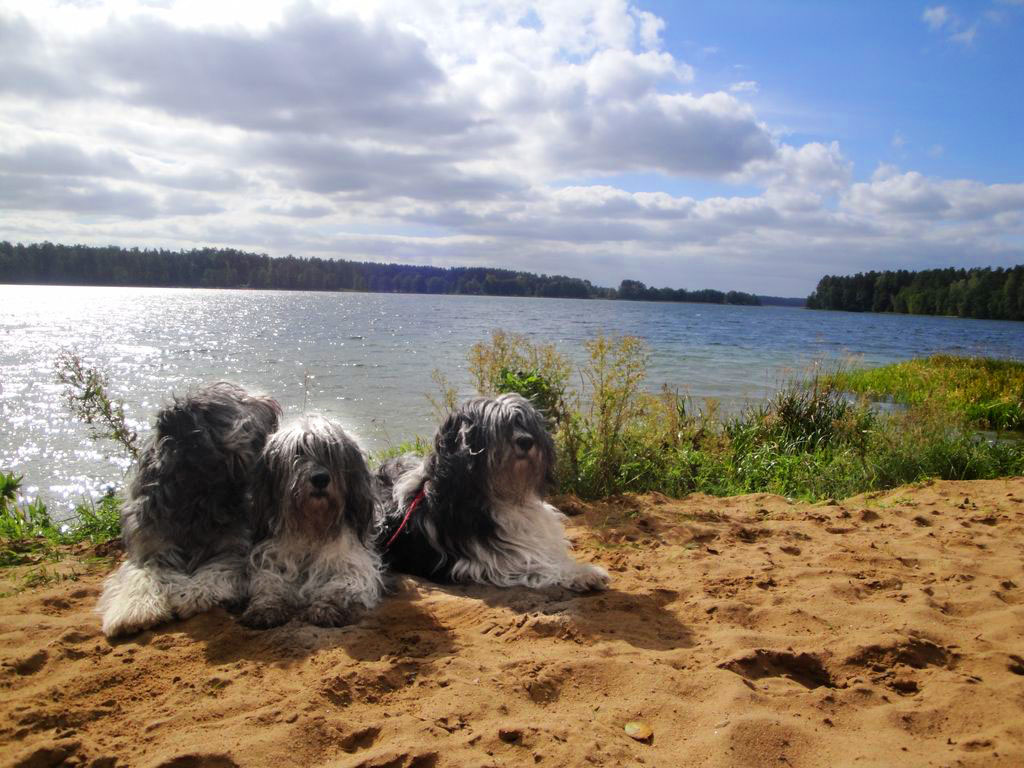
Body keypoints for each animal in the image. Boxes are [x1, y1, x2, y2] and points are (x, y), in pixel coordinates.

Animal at [98, 382, 281, 638]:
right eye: (240, 398)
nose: (272, 403)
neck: (197, 490)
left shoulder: (232, 548)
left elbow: (218, 570)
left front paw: (194, 594)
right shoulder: (150, 549)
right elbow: (142, 577)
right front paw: (134, 611)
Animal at [241, 414, 383, 628]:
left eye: (330, 452)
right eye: (297, 452)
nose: (320, 479)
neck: (312, 528)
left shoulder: (354, 564)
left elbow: (340, 585)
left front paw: (325, 608)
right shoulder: (271, 559)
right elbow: (268, 581)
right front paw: (265, 608)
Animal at [375, 393, 609, 591]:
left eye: (523, 422)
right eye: (499, 428)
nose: (526, 441)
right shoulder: (484, 562)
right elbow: (534, 563)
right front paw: (583, 573)